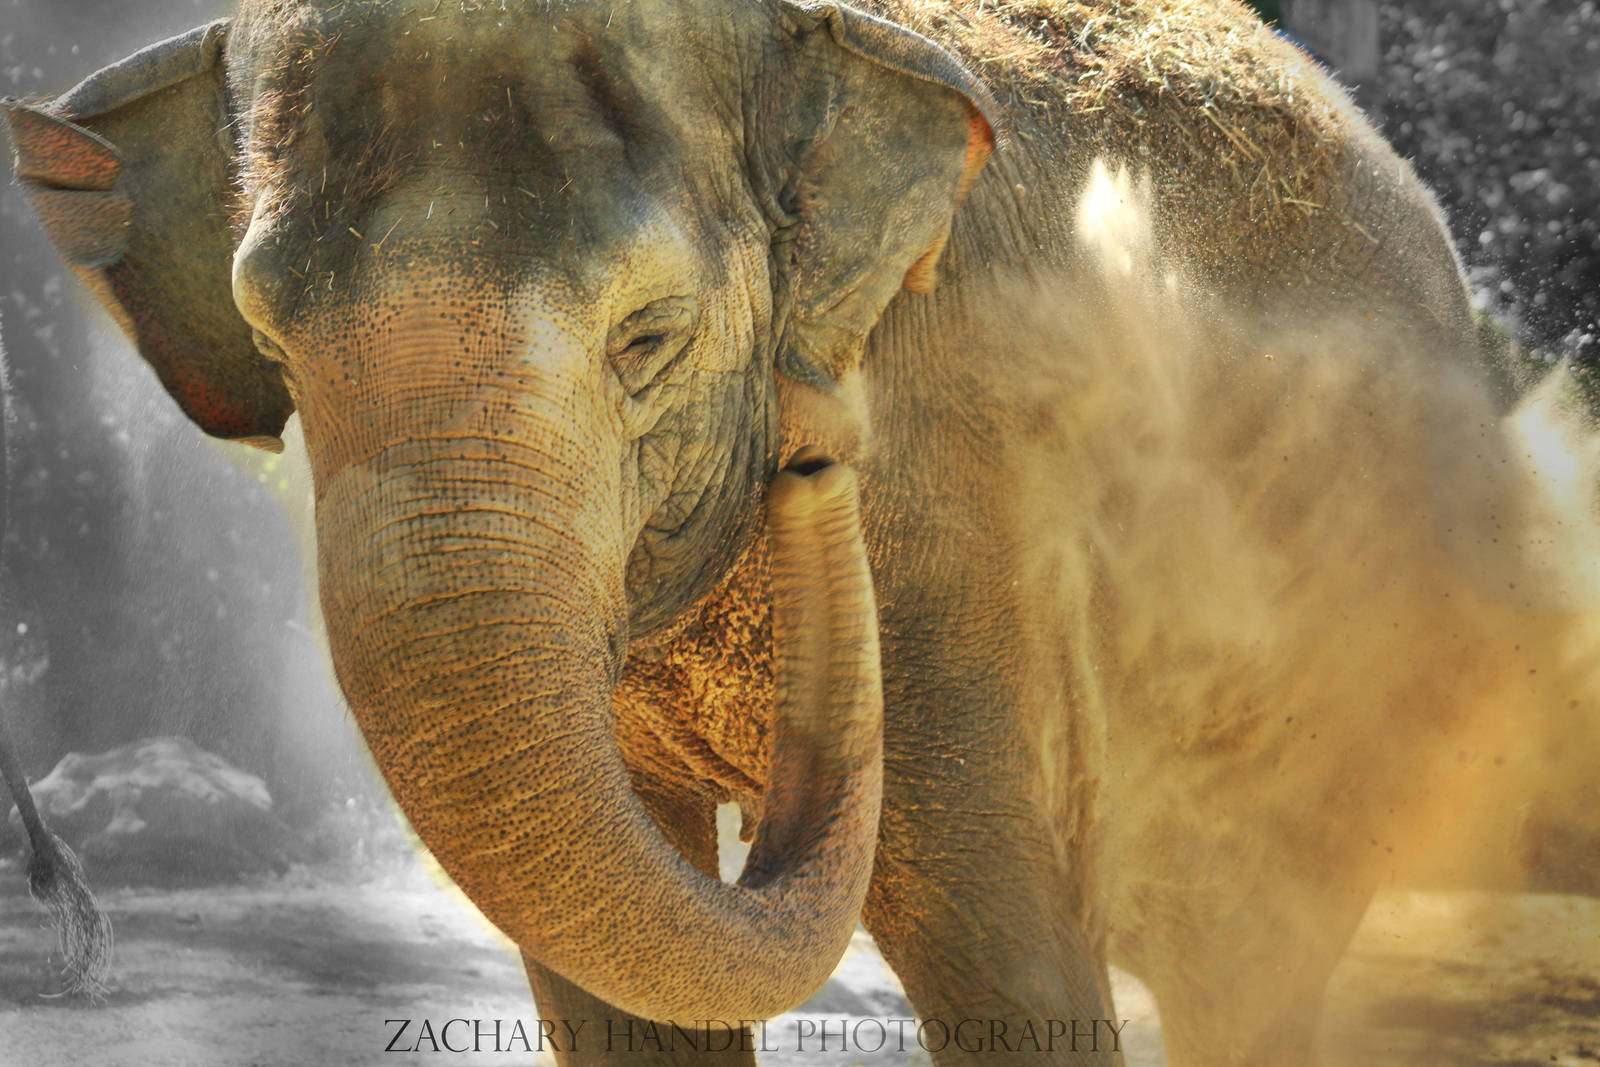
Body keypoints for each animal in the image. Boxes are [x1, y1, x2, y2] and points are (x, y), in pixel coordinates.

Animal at [7, 0, 1600, 1063]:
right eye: (275, 340)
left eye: (649, 336)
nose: (813, 428)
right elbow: (616, 982)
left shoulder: (957, 487)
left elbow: (995, 941)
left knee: (1243, 957)